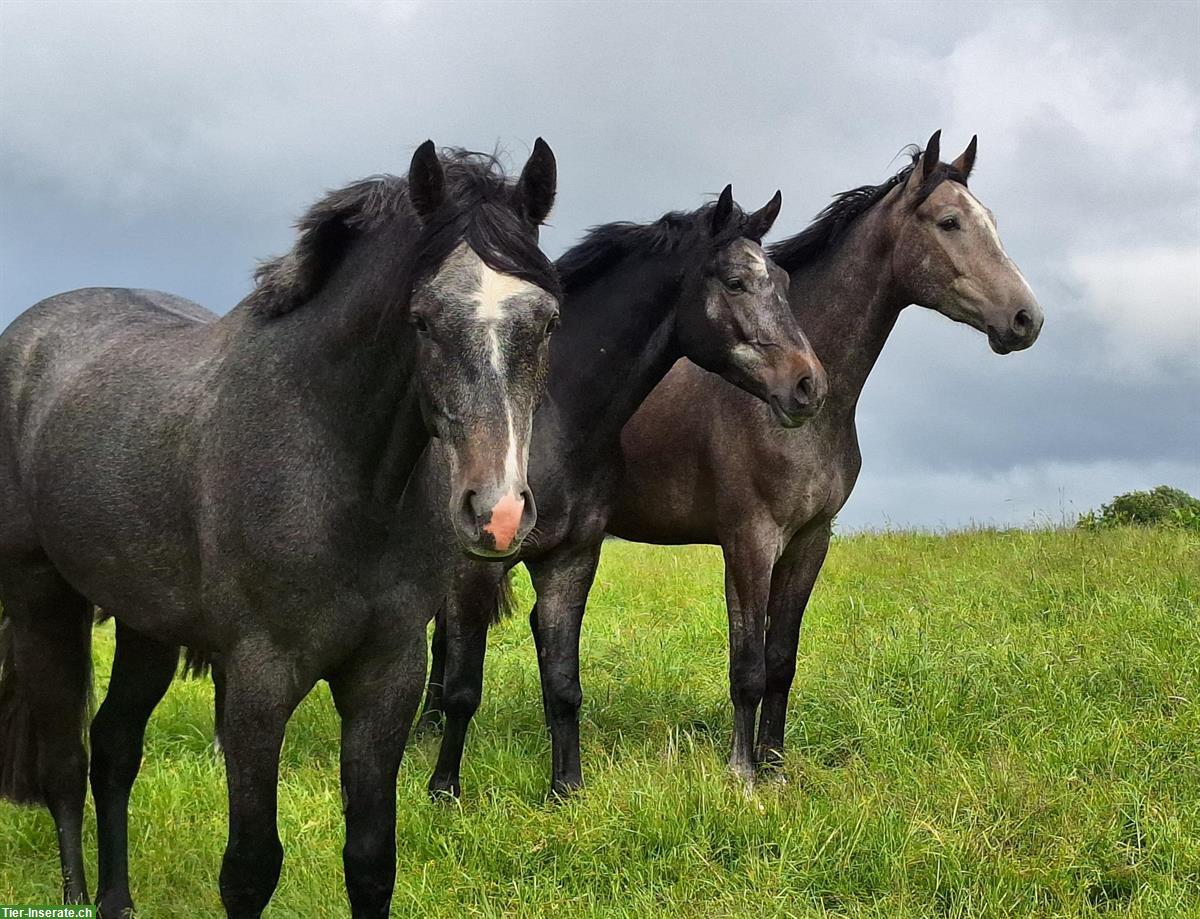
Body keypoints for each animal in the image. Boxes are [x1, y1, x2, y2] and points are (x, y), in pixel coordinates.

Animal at [0, 140, 561, 916]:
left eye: (547, 320)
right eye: (422, 319)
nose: (499, 514)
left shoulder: (387, 675)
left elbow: (370, 861)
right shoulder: (259, 680)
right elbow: (250, 867)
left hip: (146, 622)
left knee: (113, 747)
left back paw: (118, 899)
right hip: (42, 600)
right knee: (63, 761)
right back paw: (80, 895)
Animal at [415, 187, 825, 796]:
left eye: (782, 278)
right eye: (734, 282)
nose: (808, 385)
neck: (552, 420)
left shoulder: (571, 557)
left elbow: (563, 685)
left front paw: (565, 790)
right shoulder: (478, 563)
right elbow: (467, 686)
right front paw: (444, 791)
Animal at [609, 133, 1041, 787]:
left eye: (991, 220)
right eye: (949, 221)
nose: (1026, 319)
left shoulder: (810, 540)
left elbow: (782, 660)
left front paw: (776, 766)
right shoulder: (749, 541)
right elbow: (748, 665)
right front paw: (742, 775)